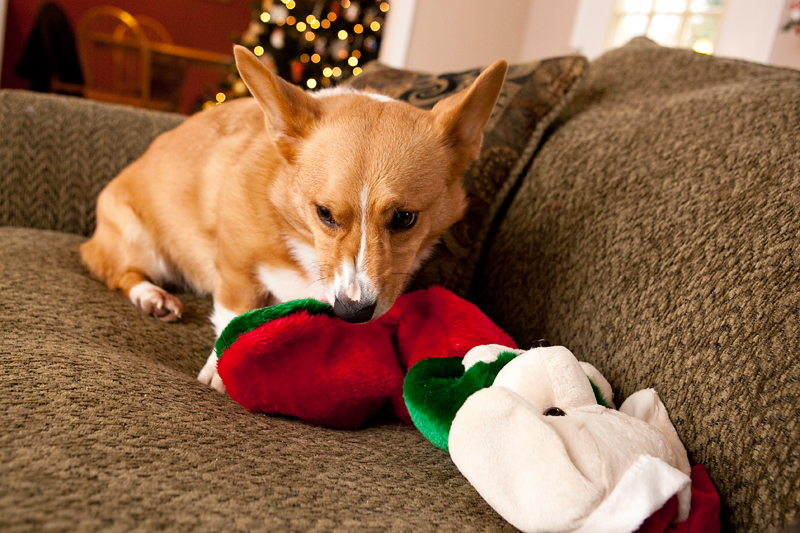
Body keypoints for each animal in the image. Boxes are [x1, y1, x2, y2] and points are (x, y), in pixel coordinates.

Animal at [81, 45, 506, 392]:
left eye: (404, 218)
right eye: (325, 214)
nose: (352, 313)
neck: (298, 234)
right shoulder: (235, 268)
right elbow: (233, 314)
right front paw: (220, 371)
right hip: (140, 242)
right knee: (116, 271)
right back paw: (152, 297)